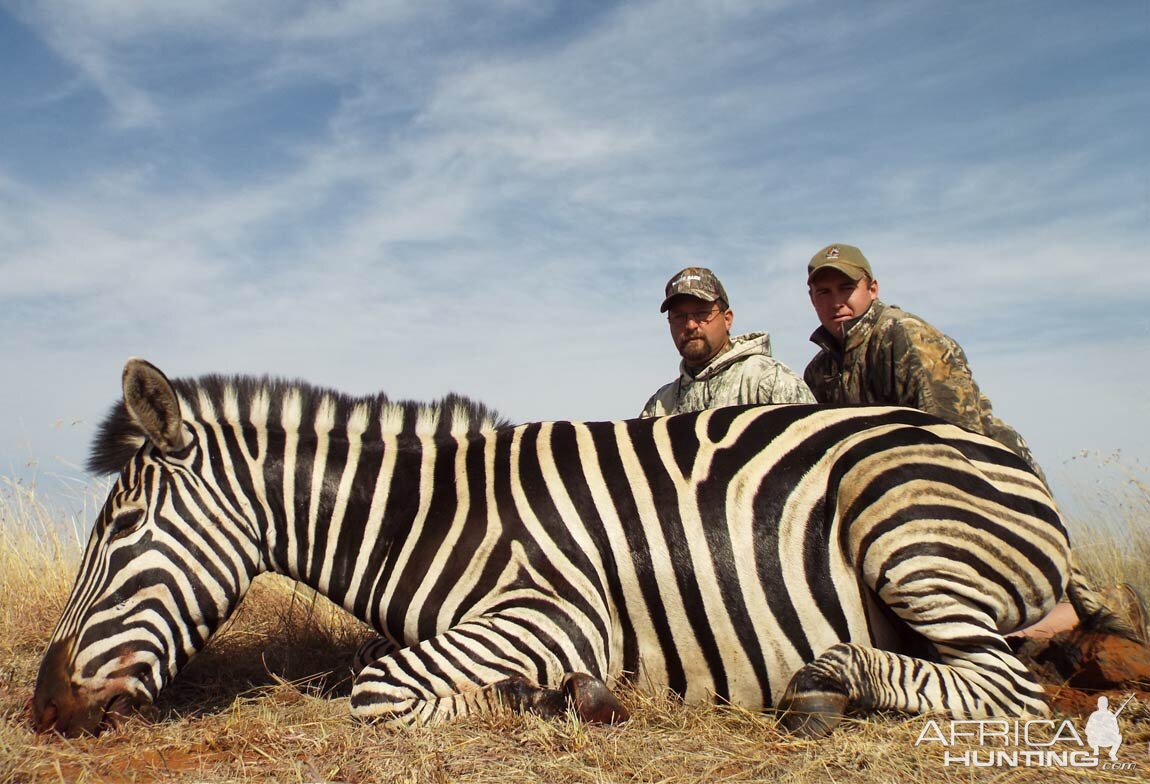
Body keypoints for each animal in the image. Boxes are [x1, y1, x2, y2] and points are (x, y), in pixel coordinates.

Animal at [33, 356, 1076, 735]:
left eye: (116, 531)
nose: (42, 707)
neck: (433, 516)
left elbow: (377, 689)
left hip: (899, 524)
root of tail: (1008, 457)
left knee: (1006, 687)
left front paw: (556, 697)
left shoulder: (554, 612)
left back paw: (827, 685)